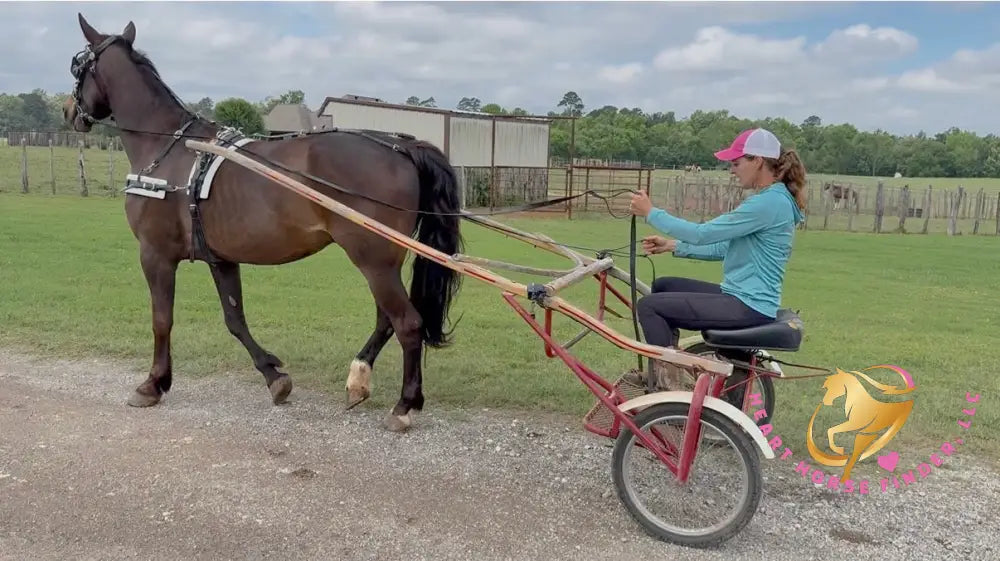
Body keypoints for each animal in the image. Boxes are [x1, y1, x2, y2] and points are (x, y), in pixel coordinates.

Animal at [62, 14, 464, 432]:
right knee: (387, 320)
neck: (168, 148)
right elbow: (235, 319)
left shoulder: (155, 255)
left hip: (374, 260)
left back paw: (405, 404)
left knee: (407, 322)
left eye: (77, 67)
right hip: (383, 261)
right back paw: (359, 378)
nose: (68, 111)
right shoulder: (221, 258)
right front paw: (274, 377)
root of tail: (401, 147)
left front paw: (153, 383)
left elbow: (162, 319)